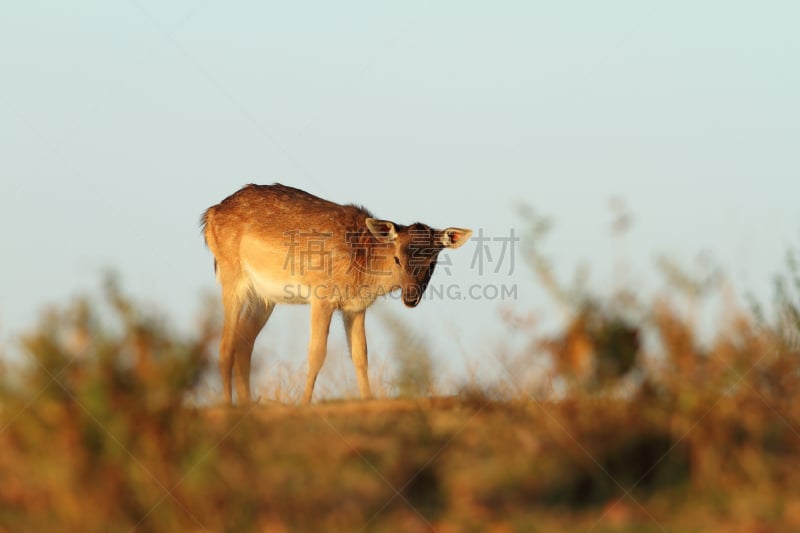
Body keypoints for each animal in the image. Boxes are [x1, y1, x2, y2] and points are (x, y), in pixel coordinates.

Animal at [203, 183, 472, 404]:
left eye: (433, 262)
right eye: (397, 258)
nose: (411, 297)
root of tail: (209, 216)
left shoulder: (356, 307)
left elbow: (360, 355)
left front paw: (368, 400)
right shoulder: (322, 295)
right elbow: (317, 353)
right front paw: (304, 403)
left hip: (264, 297)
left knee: (243, 341)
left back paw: (247, 404)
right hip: (231, 274)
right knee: (225, 344)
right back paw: (228, 405)